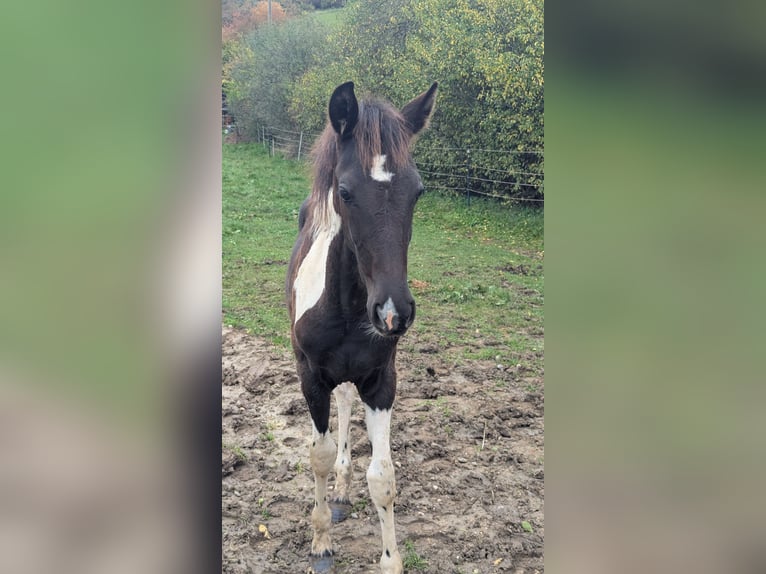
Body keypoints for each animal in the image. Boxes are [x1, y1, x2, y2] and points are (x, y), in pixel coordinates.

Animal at [286, 81, 437, 574]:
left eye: (418, 191)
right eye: (346, 191)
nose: (393, 311)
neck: (350, 309)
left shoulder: (380, 381)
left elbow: (383, 477)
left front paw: (391, 560)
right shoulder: (311, 378)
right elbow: (318, 455)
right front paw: (320, 543)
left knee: (347, 402)